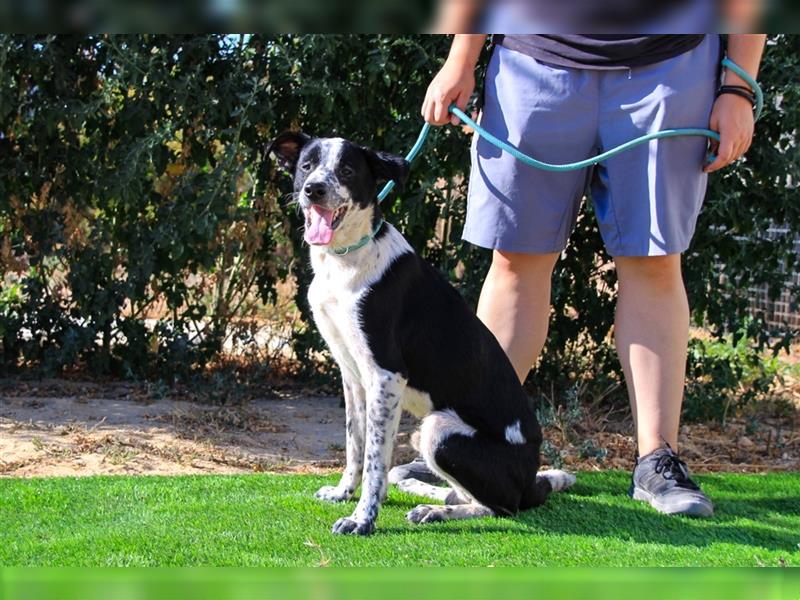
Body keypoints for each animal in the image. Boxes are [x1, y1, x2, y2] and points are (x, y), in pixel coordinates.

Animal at [268, 131, 576, 536]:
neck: (345, 260)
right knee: (458, 493)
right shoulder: (352, 375)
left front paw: (362, 519)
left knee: (500, 507)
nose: (314, 189)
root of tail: (530, 480)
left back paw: (435, 511)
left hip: (439, 431)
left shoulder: (386, 375)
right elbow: (356, 445)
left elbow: (374, 457)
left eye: (347, 170)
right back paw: (423, 491)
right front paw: (344, 493)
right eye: (307, 165)